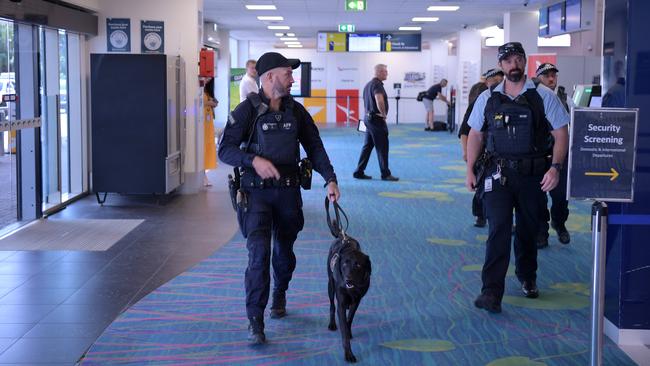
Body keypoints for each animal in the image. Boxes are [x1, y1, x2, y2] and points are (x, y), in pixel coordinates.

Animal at [324, 200, 370, 364]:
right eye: (344, 264)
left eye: (358, 265)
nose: (348, 278)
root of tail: (343, 236)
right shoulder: (342, 303)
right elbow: (343, 323)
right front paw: (348, 353)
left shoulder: (358, 300)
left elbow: (350, 319)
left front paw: (349, 331)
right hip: (330, 286)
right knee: (332, 305)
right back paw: (332, 324)